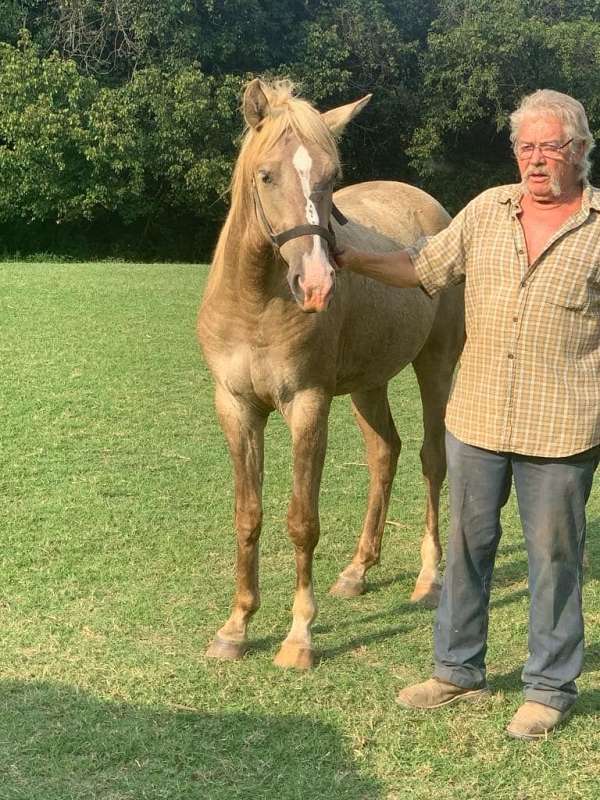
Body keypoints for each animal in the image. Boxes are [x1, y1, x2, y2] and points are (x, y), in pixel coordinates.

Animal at [198, 79, 464, 668]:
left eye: (332, 177)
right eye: (266, 175)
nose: (316, 282)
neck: (255, 302)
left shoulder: (308, 403)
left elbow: (302, 521)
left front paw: (299, 636)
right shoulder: (235, 407)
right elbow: (247, 515)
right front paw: (236, 626)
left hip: (437, 365)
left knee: (432, 460)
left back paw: (430, 576)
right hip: (369, 384)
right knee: (384, 453)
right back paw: (358, 570)